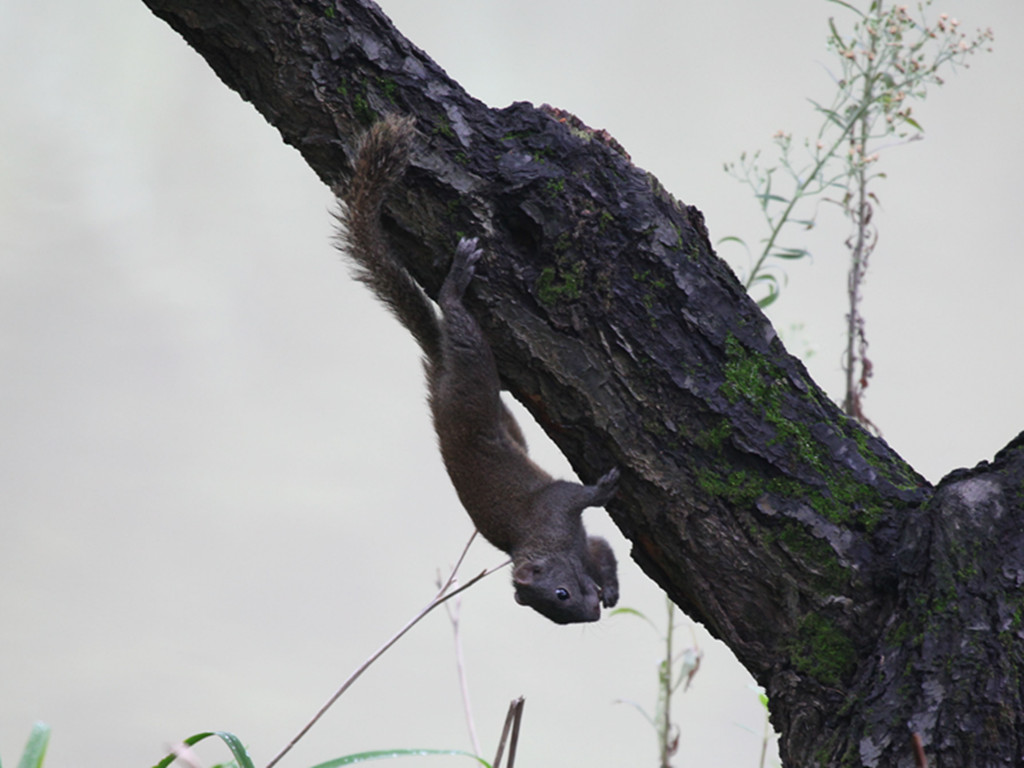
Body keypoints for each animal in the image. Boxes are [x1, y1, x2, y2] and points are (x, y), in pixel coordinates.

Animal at [335, 115, 618, 626]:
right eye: (557, 607)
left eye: (561, 595)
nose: (591, 615)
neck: (538, 542)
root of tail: (439, 370)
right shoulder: (570, 526)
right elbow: (598, 531)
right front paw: (608, 573)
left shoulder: (558, 508)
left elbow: (585, 509)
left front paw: (610, 576)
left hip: (478, 376)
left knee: (459, 324)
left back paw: (457, 279)